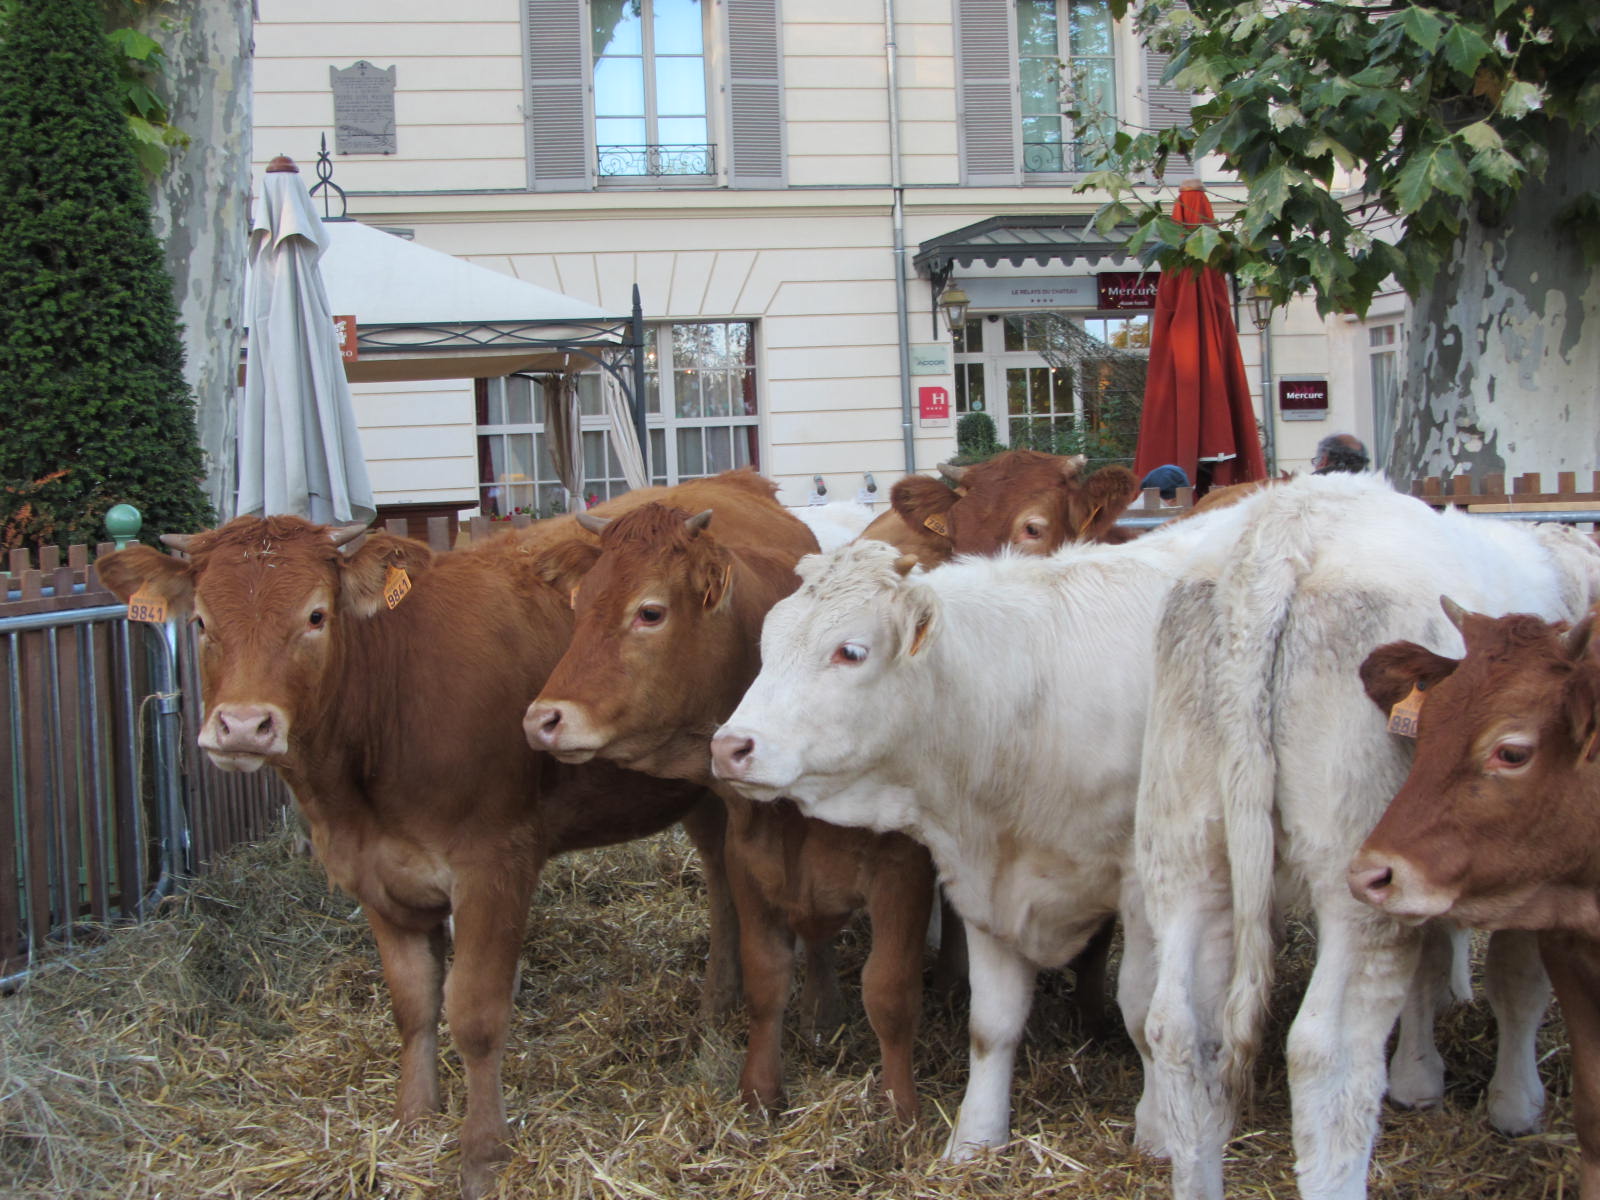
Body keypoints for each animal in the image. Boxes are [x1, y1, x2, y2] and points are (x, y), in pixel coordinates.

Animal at [93, 512, 732, 1196]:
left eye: (316, 615)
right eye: (200, 622)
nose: (242, 726)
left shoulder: (495, 862)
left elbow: (474, 1012)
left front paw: (482, 1154)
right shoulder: (375, 875)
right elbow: (413, 1002)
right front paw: (415, 1118)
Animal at [518, 470, 934, 1120]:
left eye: (650, 612)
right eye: (580, 608)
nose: (543, 720)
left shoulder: (903, 869)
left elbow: (889, 990)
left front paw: (899, 1112)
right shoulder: (750, 851)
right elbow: (767, 974)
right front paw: (759, 1090)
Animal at [713, 505, 1260, 1158]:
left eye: (850, 651)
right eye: (766, 645)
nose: (728, 747)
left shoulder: (1146, 883)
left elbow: (1142, 1010)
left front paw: (1158, 1135)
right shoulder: (981, 879)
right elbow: (991, 1023)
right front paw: (974, 1141)